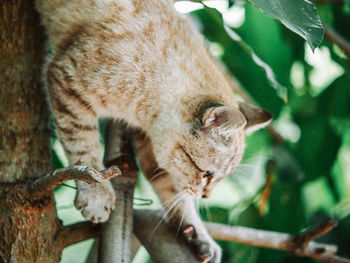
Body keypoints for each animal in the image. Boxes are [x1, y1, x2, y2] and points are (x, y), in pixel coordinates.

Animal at [34, 0, 270, 262]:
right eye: (207, 173)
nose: (206, 196)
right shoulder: (66, 79)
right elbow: (83, 149)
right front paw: (96, 195)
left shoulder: (151, 143)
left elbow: (172, 190)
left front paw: (200, 235)